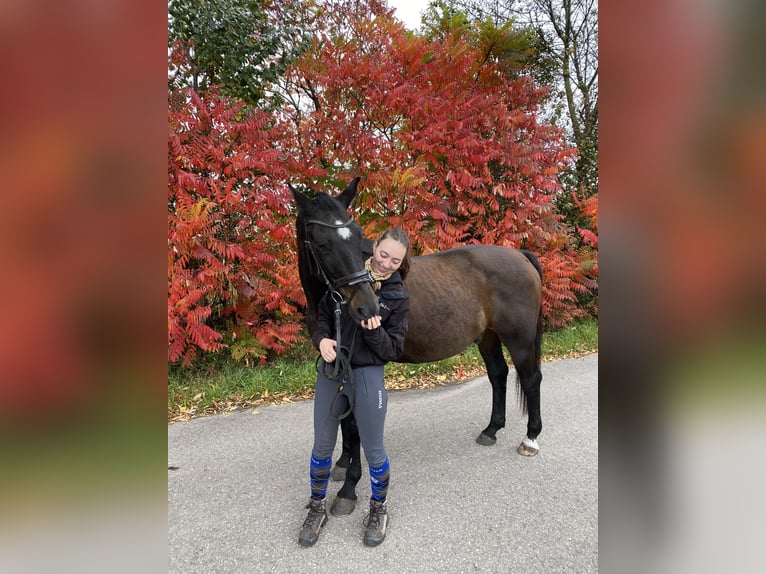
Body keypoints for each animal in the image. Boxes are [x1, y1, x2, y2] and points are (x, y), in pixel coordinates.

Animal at [290, 177, 544, 516]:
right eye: (321, 243)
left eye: (357, 237)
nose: (367, 308)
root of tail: (520, 256)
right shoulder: (338, 360)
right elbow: (345, 418)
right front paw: (342, 463)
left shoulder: (358, 364)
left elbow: (355, 425)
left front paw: (348, 489)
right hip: (488, 336)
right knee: (498, 375)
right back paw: (492, 429)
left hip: (520, 339)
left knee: (530, 380)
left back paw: (530, 438)